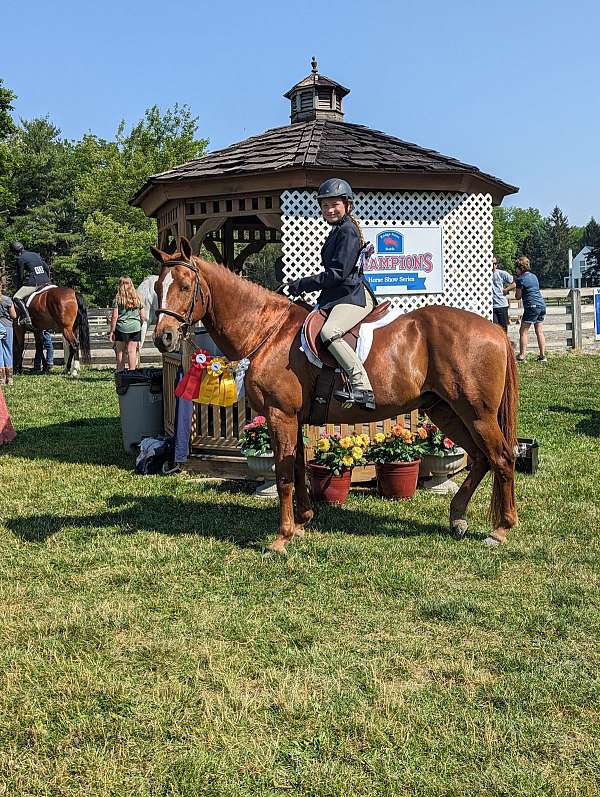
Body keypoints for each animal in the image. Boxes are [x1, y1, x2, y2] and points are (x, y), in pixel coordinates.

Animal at [152, 238, 516, 552]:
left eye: (185, 286)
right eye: (157, 288)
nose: (163, 338)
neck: (268, 331)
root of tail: (495, 330)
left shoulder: (280, 415)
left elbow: (283, 476)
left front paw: (282, 538)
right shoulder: (292, 418)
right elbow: (298, 468)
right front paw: (302, 522)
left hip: (477, 413)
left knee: (501, 458)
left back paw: (500, 530)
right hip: (445, 411)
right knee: (481, 458)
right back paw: (457, 518)